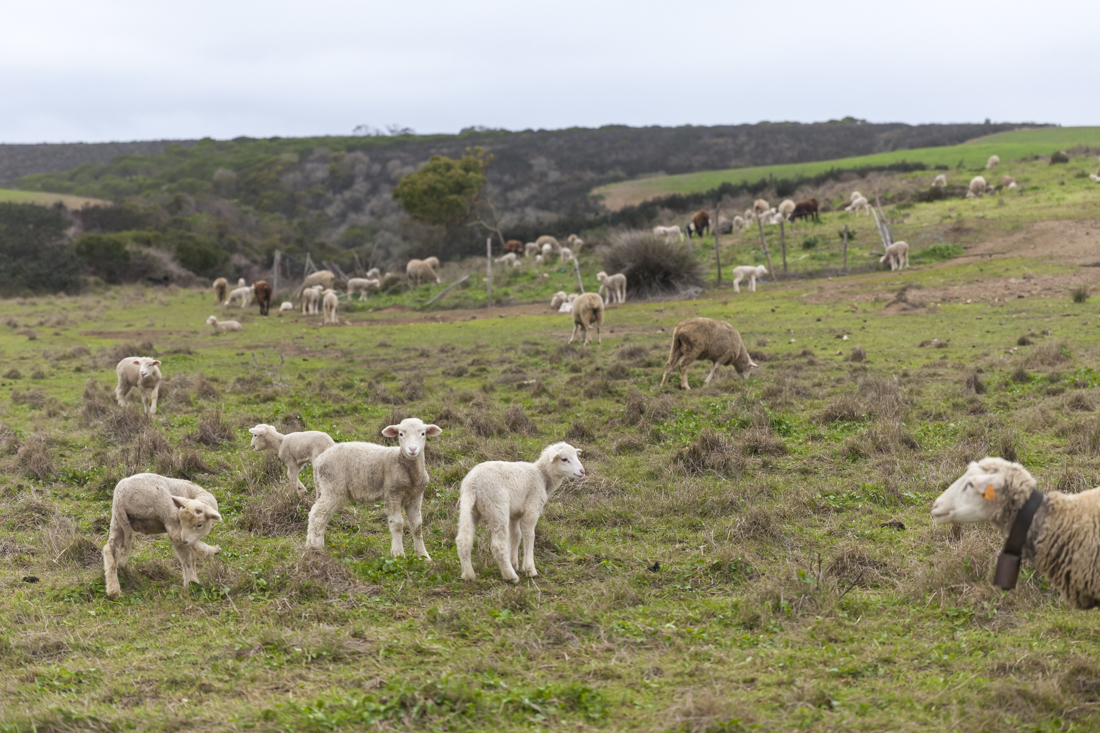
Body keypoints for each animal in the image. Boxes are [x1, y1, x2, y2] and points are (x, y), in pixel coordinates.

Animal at [305, 413, 442, 556]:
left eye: (423, 433)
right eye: (401, 434)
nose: (413, 449)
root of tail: (319, 460)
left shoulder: (416, 496)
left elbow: (417, 526)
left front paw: (423, 555)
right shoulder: (392, 493)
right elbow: (397, 524)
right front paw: (398, 553)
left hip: (324, 487)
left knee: (322, 516)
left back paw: (315, 545)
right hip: (332, 487)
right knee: (317, 515)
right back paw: (315, 548)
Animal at [455, 442, 589, 581]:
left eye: (576, 456)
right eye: (564, 459)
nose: (582, 471)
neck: (541, 476)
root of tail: (472, 484)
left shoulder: (515, 514)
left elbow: (516, 535)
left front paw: (514, 563)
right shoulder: (532, 508)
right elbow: (529, 535)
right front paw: (529, 569)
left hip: (470, 508)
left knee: (463, 540)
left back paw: (468, 574)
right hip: (497, 506)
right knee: (498, 545)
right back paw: (510, 576)